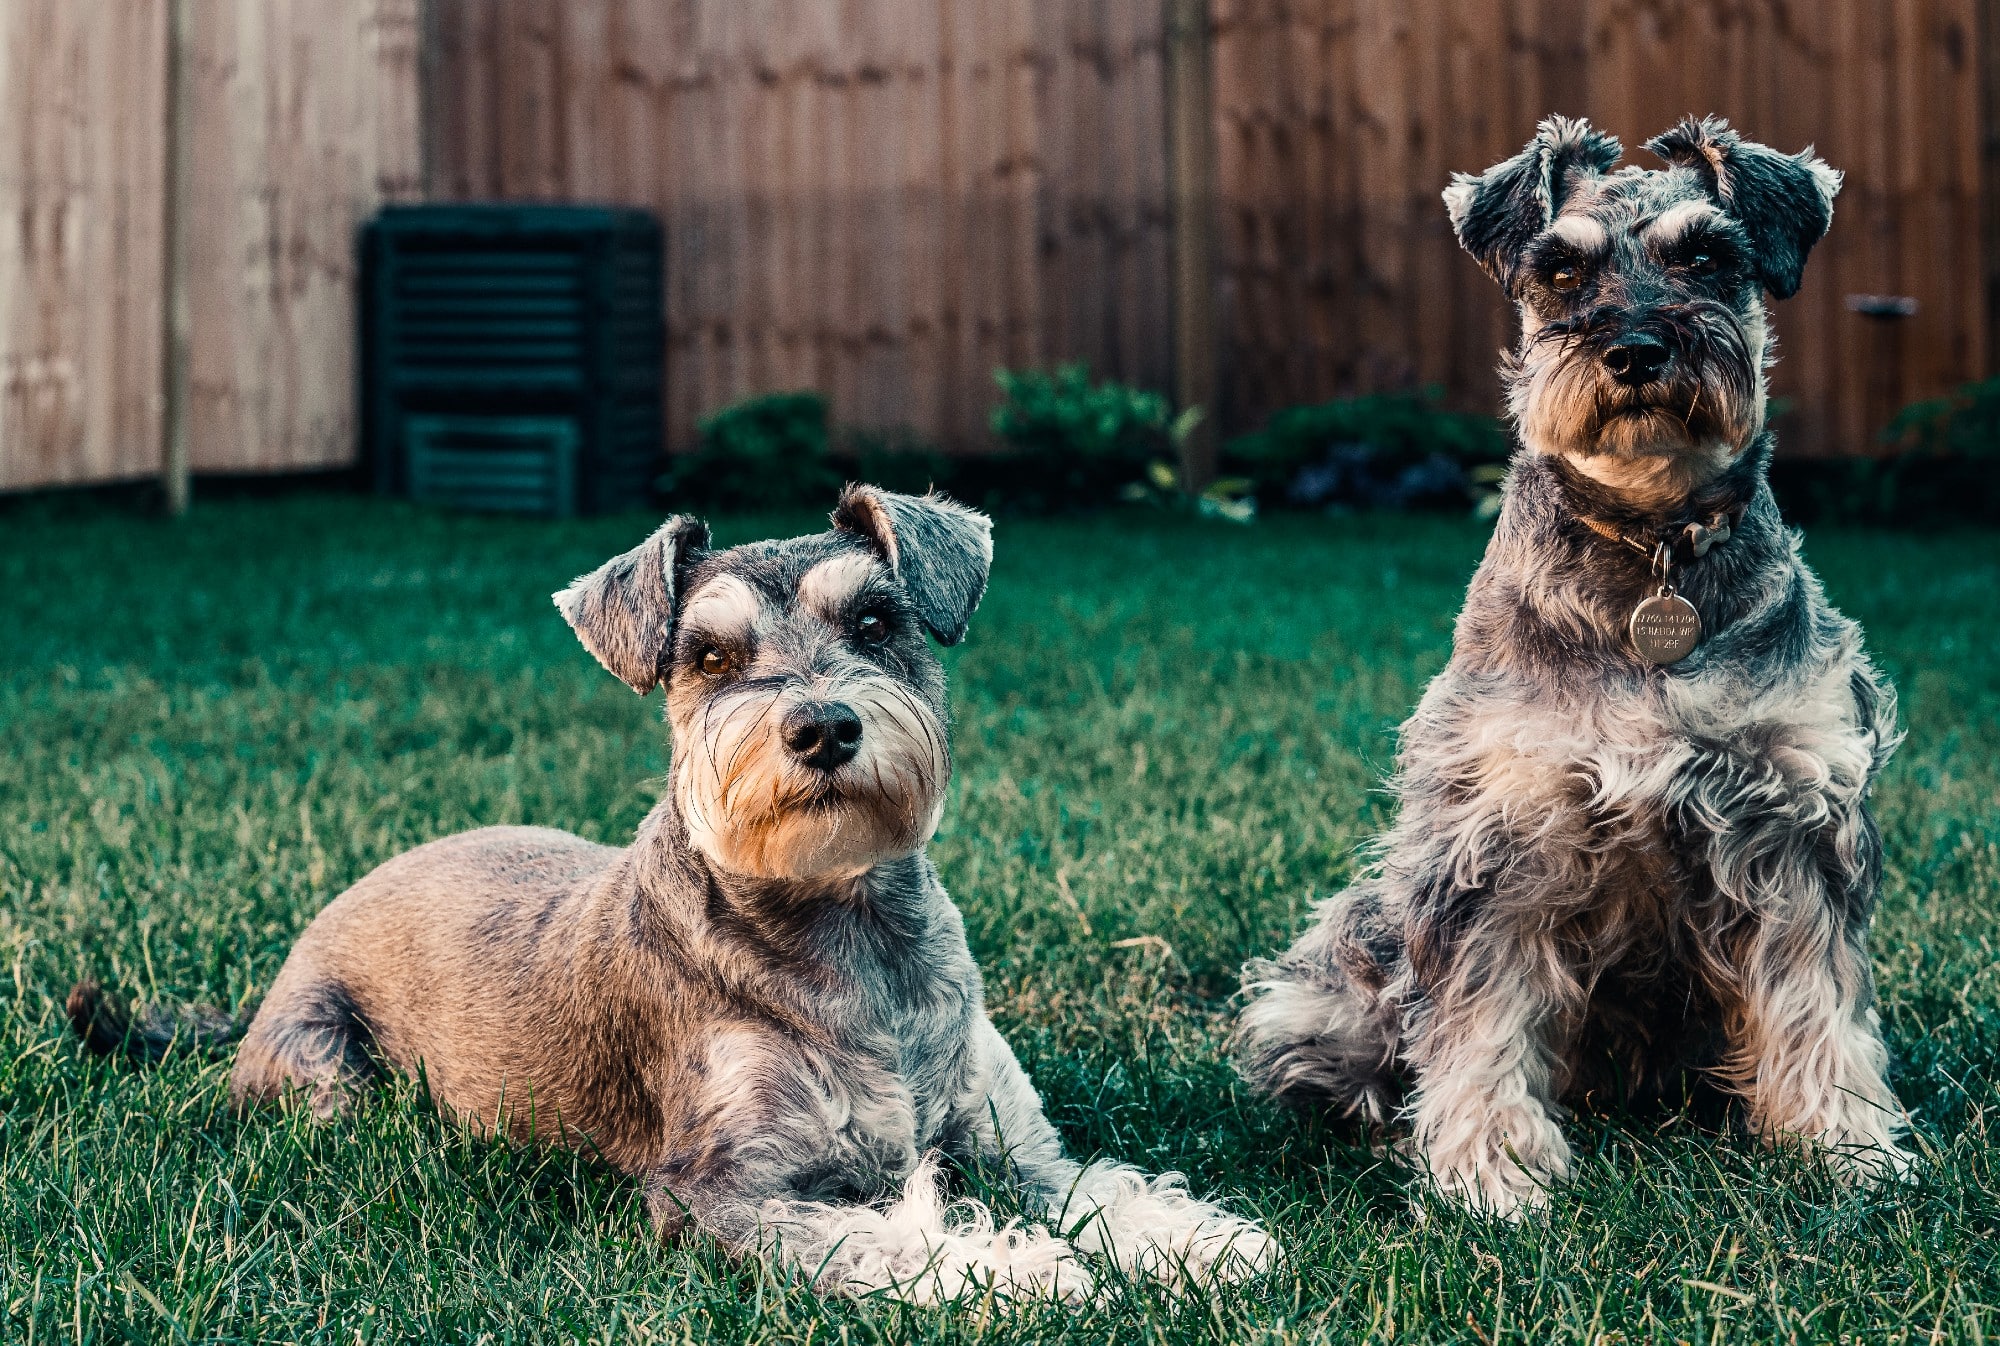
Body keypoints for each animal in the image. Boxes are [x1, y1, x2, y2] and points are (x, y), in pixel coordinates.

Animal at [78, 488, 1272, 1296]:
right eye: (707, 655)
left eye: (876, 622)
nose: (822, 727)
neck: (850, 932)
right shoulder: (721, 1189)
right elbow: (880, 1236)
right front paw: (1019, 1272)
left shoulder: (1012, 1143)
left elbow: (1098, 1185)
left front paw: (1200, 1240)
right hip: (329, 1078)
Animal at [1232, 115, 1904, 1216]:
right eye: (1558, 271)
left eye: (1707, 258)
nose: (1634, 349)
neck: (1651, 550)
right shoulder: (1498, 836)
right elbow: (1480, 1020)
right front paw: (1490, 1173)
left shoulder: (1792, 822)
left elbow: (1818, 1002)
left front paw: (1846, 1147)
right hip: (1346, 957)